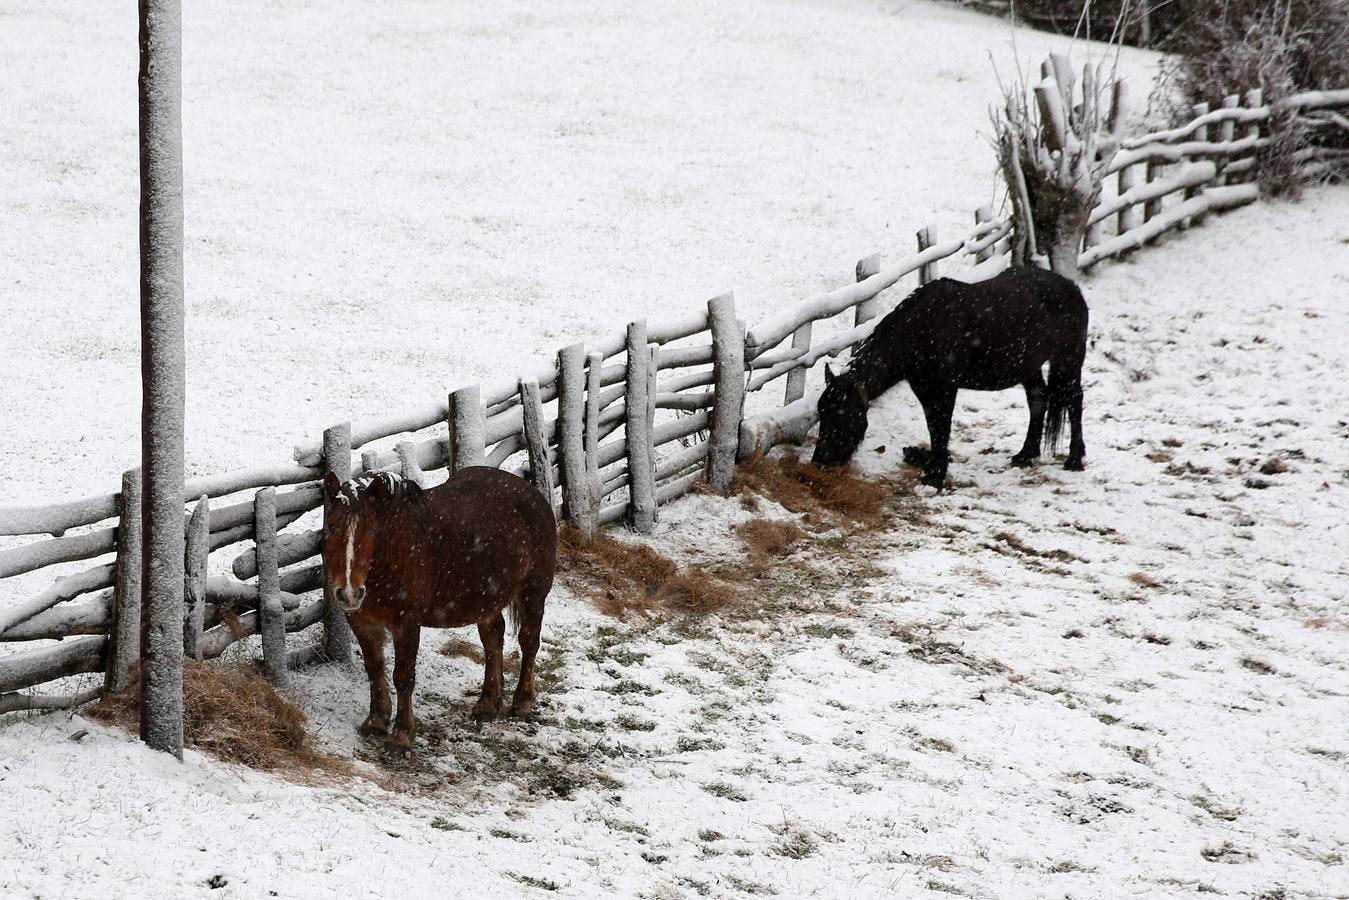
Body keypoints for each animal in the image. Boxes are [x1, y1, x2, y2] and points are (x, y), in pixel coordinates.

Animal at [321, 469, 553, 755]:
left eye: (372, 530)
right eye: (331, 527)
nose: (350, 592)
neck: (394, 551)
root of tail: (532, 492)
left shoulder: (406, 622)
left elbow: (403, 677)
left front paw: (402, 736)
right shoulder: (361, 620)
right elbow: (374, 669)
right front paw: (376, 721)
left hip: (533, 592)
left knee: (529, 643)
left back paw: (522, 703)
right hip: (486, 599)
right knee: (493, 639)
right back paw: (488, 703)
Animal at [809, 267, 1084, 488]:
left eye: (842, 415)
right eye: (822, 412)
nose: (820, 457)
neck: (920, 331)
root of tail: (1071, 286)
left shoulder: (945, 389)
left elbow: (942, 427)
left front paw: (935, 476)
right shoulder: (924, 389)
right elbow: (934, 427)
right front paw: (932, 469)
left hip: (1068, 361)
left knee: (1074, 400)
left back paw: (1075, 459)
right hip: (1029, 367)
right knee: (1038, 400)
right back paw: (1026, 454)